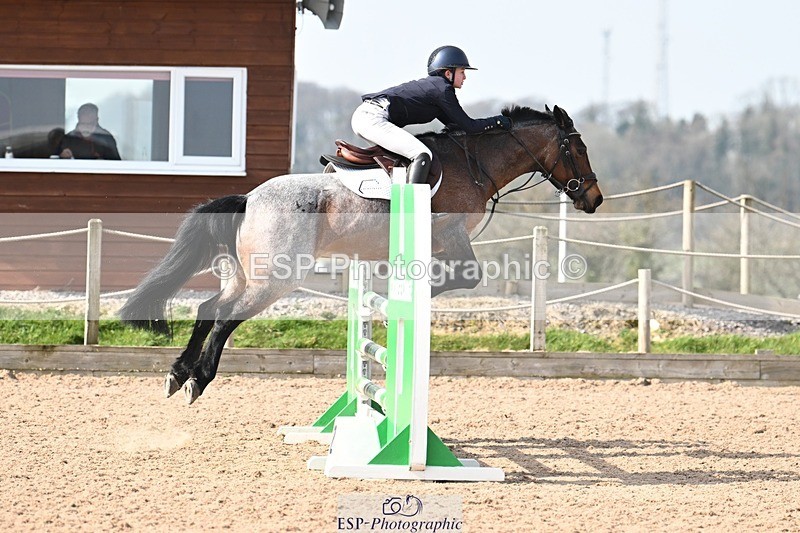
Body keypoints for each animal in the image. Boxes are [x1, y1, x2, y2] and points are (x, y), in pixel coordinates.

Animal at [120, 105, 603, 404]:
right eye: (578, 148)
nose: (594, 199)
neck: (475, 164)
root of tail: (250, 198)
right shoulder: (450, 236)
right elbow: (465, 278)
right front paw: (408, 301)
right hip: (275, 279)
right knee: (224, 317)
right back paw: (197, 381)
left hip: (246, 275)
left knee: (207, 309)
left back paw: (177, 374)